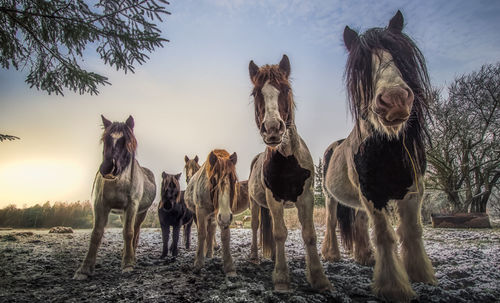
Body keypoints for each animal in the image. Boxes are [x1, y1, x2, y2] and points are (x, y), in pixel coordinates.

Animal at [73, 116, 156, 280]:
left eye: (127, 141)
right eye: (105, 139)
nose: (108, 168)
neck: (117, 183)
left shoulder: (132, 206)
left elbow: (129, 233)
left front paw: (128, 264)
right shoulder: (99, 205)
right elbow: (96, 233)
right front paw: (84, 269)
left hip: (141, 212)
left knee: (135, 230)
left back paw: (131, 256)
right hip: (123, 214)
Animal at [247, 54, 332, 292]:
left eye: (285, 89)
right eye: (255, 93)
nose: (272, 129)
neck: (286, 160)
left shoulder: (306, 197)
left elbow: (309, 234)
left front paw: (319, 278)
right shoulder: (274, 198)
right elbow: (279, 233)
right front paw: (282, 278)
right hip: (255, 203)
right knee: (257, 227)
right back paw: (255, 257)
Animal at [322, 10, 436, 302]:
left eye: (400, 56)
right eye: (361, 67)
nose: (395, 99)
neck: (390, 151)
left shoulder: (414, 191)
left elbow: (411, 231)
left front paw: (420, 274)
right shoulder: (373, 193)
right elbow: (385, 235)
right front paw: (393, 287)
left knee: (360, 223)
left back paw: (365, 257)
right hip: (331, 197)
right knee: (331, 222)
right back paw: (332, 254)